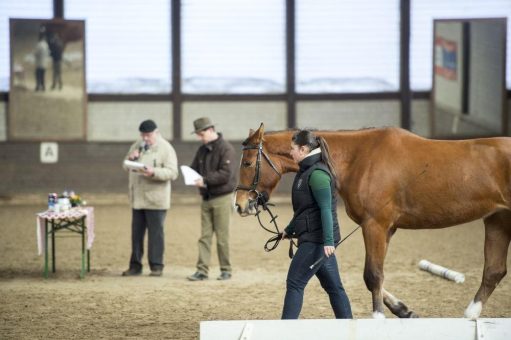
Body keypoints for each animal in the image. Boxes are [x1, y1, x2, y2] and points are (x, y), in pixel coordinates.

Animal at [235, 124, 511, 318]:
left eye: (247, 163)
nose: (239, 205)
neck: (360, 158)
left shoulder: (375, 226)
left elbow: (373, 275)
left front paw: (379, 317)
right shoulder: (386, 229)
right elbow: (371, 277)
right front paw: (403, 310)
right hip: (498, 220)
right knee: (494, 271)